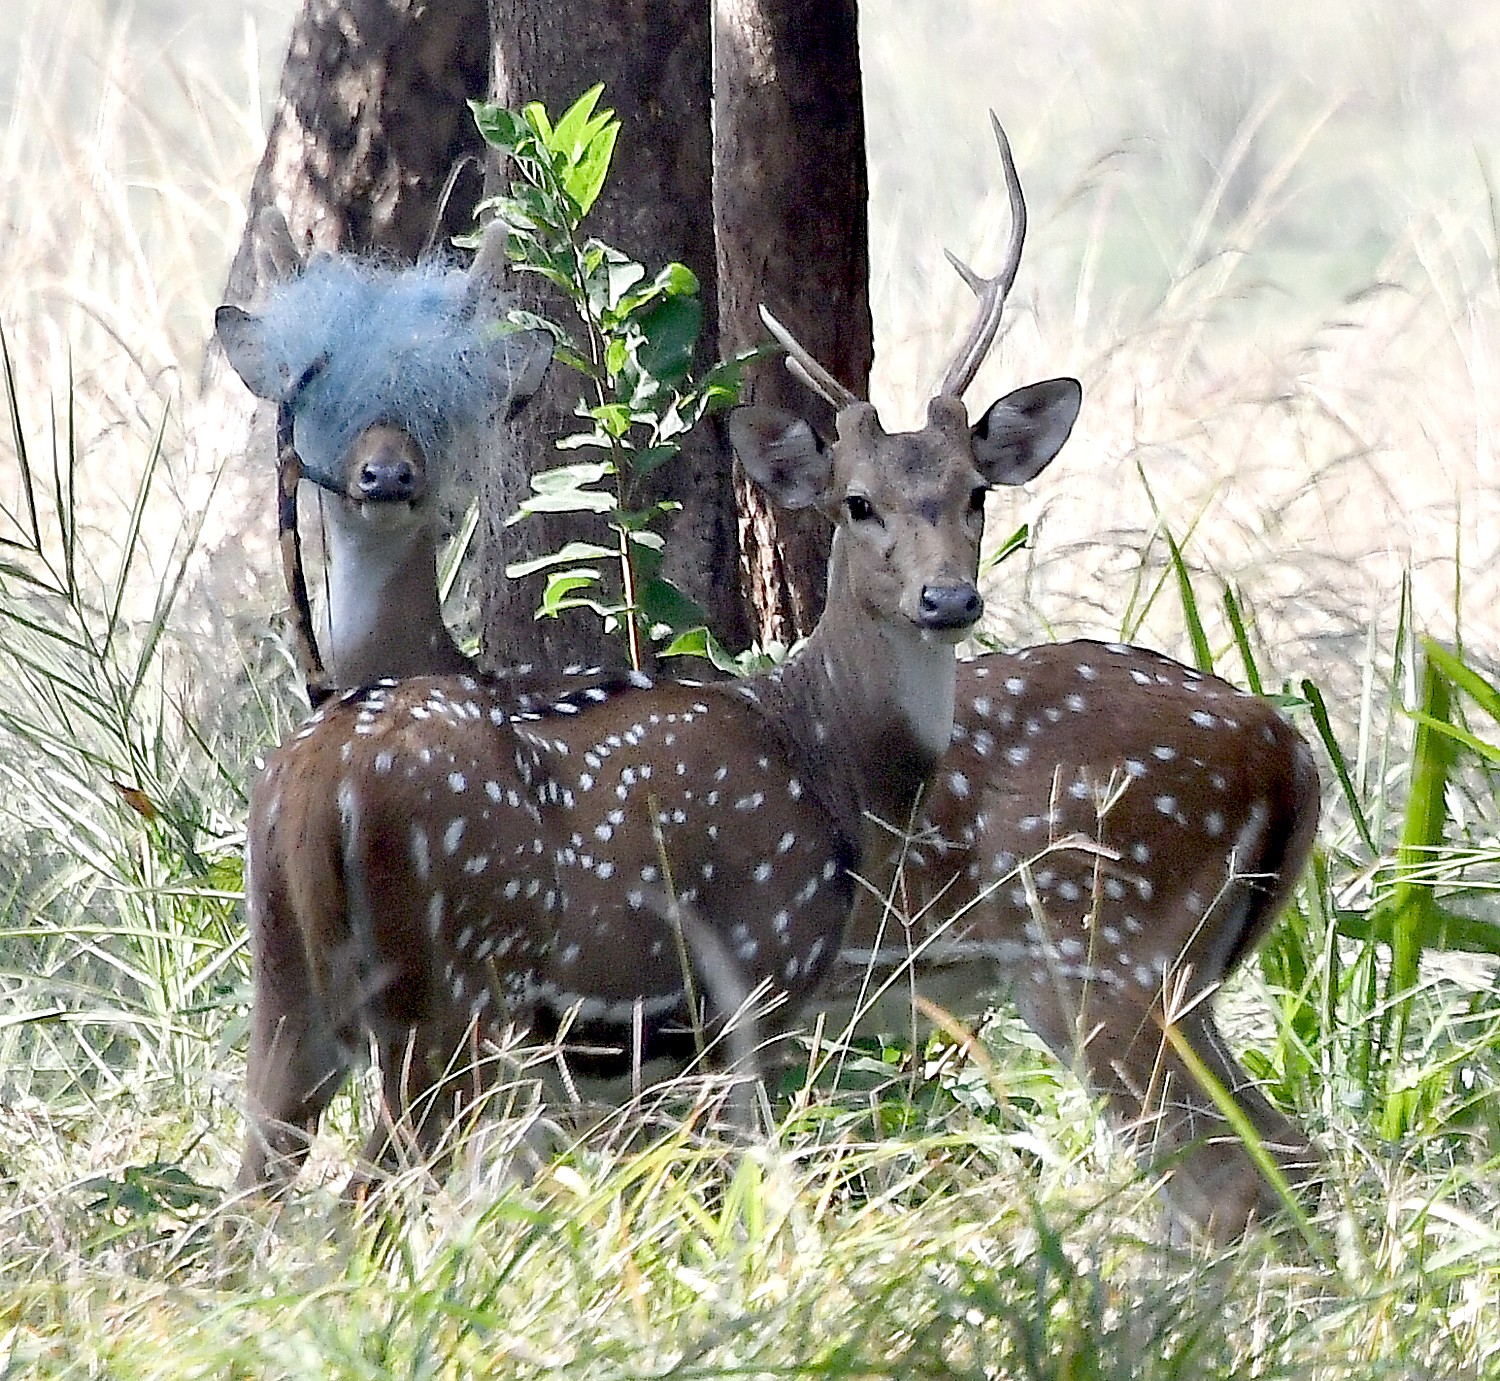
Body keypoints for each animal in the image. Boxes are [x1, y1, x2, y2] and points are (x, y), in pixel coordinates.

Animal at [222, 116, 1080, 1193]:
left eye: (976, 492)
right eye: (857, 502)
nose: (949, 598)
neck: (831, 763)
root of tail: (311, 786)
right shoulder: (750, 981)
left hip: (284, 982)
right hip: (448, 993)